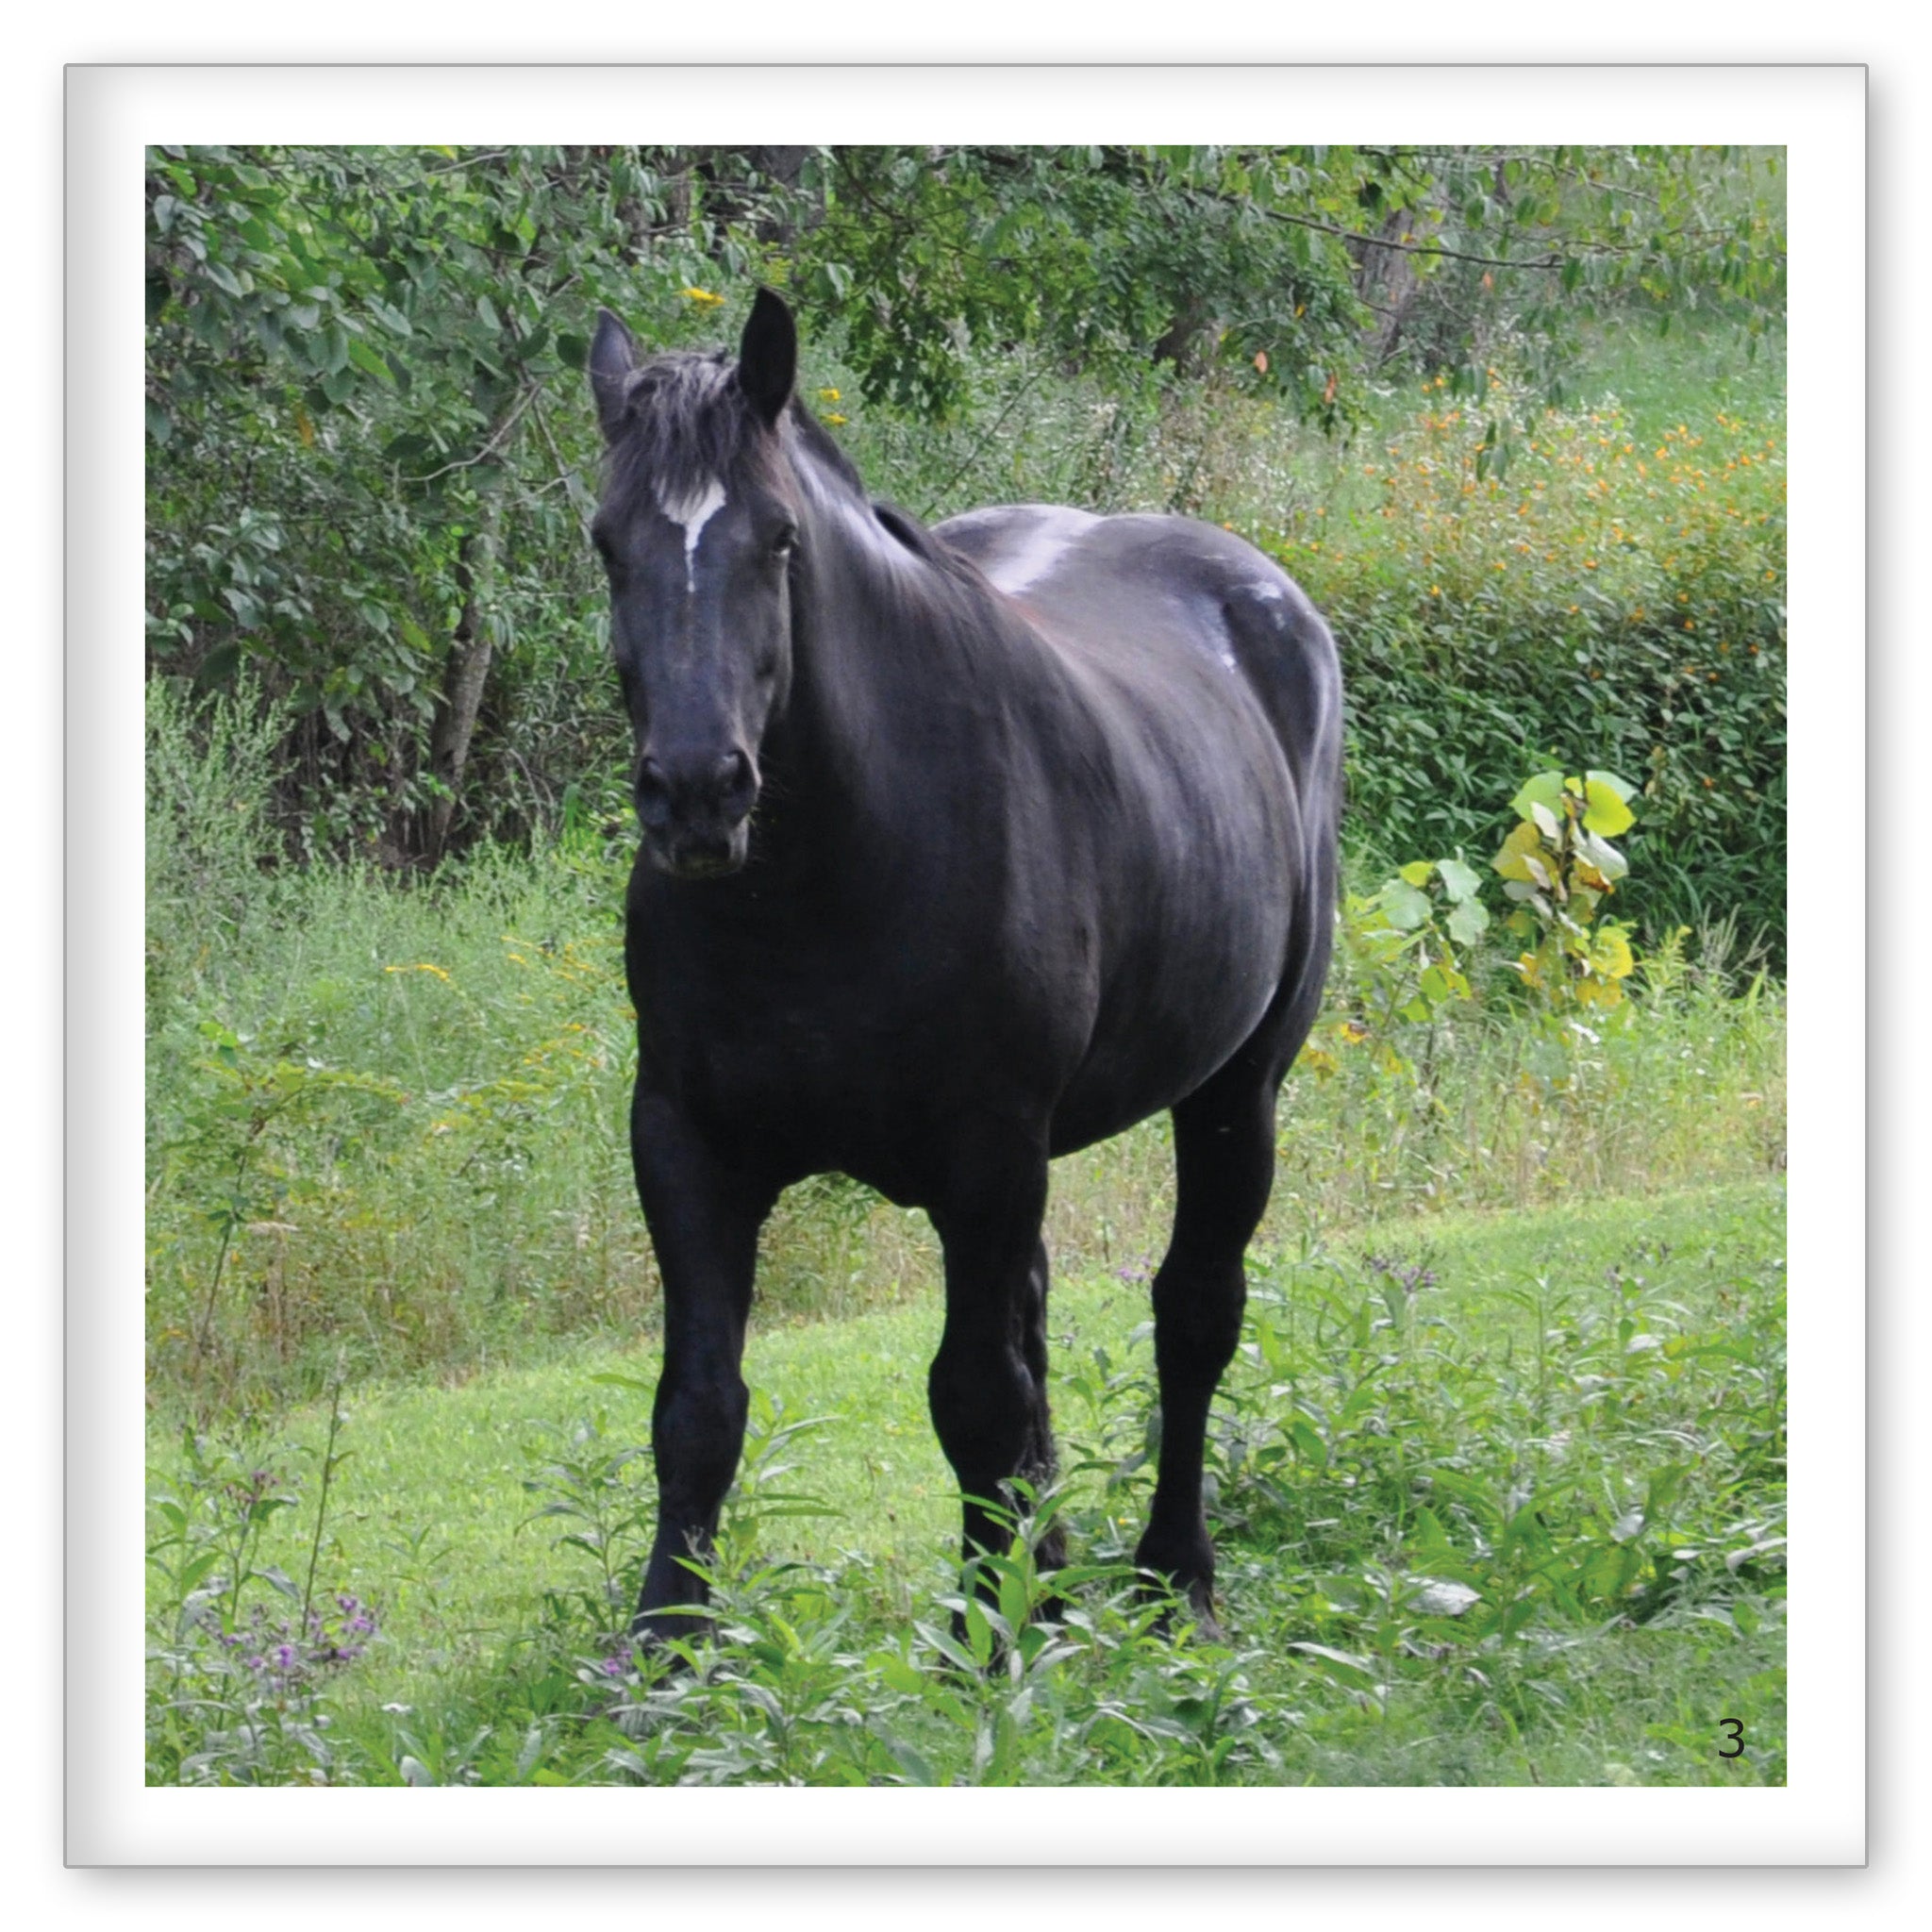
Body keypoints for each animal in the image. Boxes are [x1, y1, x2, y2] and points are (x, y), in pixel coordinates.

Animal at [587, 289, 1342, 1648]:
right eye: (606, 542)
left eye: (779, 540)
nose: (696, 792)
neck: (826, 881)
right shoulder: (684, 1145)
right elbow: (699, 1408)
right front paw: (667, 1653)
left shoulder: (985, 1154)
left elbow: (977, 1403)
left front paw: (987, 1650)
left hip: (1236, 1092)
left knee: (1193, 1315)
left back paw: (1173, 1578)